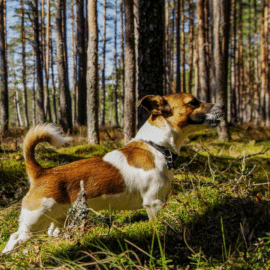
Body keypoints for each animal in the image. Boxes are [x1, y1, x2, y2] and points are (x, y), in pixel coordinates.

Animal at [2, 92, 224, 253]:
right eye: (193, 102)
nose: (222, 106)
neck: (156, 147)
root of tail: (42, 172)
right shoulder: (153, 204)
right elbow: (156, 225)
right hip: (34, 222)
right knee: (14, 238)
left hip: (56, 220)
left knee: (50, 233)